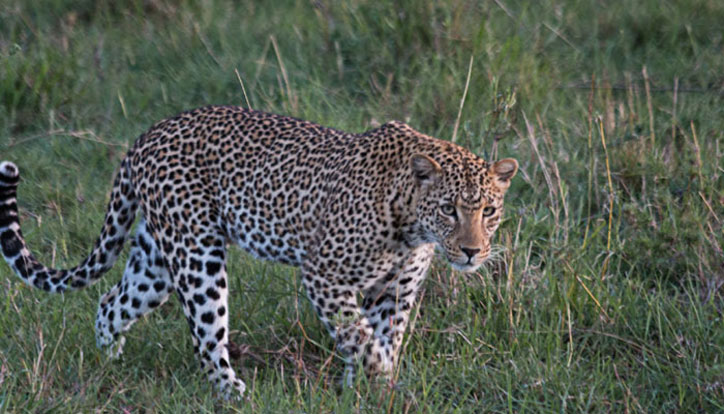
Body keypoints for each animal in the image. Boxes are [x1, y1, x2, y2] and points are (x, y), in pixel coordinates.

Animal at [1, 106, 520, 398]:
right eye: (450, 209)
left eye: (489, 210)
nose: (472, 252)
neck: (411, 223)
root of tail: (145, 136)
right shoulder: (324, 275)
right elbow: (361, 338)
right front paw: (380, 379)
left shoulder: (395, 292)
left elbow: (380, 337)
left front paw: (373, 390)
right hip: (197, 256)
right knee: (206, 336)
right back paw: (232, 393)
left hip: (156, 262)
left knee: (111, 303)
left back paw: (111, 362)